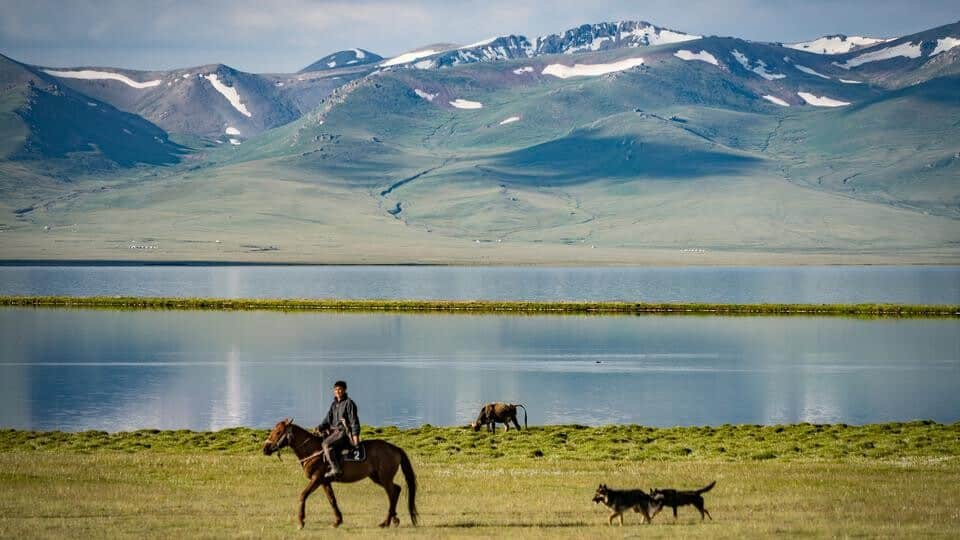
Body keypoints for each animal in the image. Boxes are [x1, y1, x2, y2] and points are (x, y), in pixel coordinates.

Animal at [262, 420, 416, 528]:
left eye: (278, 432)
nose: (265, 448)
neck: (313, 451)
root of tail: (394, 448)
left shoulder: (316, 479)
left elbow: (303, 495)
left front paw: (301, 521)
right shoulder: (325, 481)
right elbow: (332, 500)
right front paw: (337, 521)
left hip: (384, 478)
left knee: (392, 493)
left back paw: (386, 522)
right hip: (377, 477)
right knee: (396, 490)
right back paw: (394, 519)